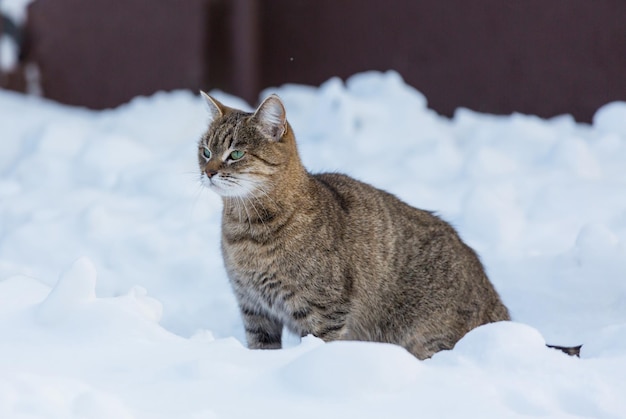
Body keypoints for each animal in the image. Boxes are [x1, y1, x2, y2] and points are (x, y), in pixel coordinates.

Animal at [197, 92, 510, 360]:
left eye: (236, 154)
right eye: (206, 151)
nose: (208, 172)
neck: (245, 230)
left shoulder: (324, 311)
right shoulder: (254, 308)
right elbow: (261, 349)